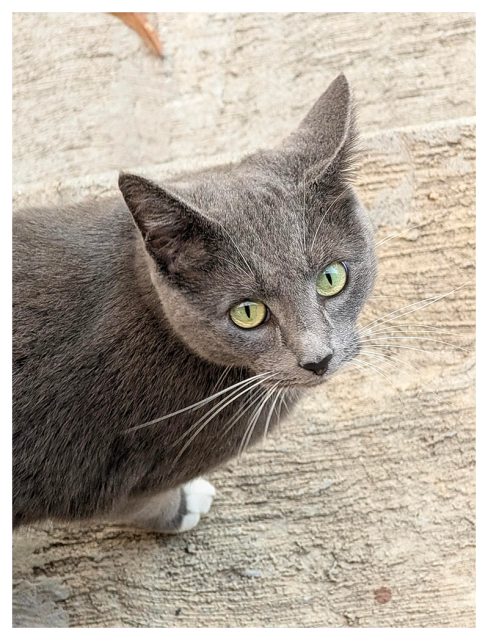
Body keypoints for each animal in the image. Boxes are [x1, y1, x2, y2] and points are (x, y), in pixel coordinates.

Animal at [12, 75, 378, 532]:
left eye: (331, 277)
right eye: (247, 312)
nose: (318, 359)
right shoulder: (101, 477)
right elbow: (141, 504)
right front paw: (185, 507)